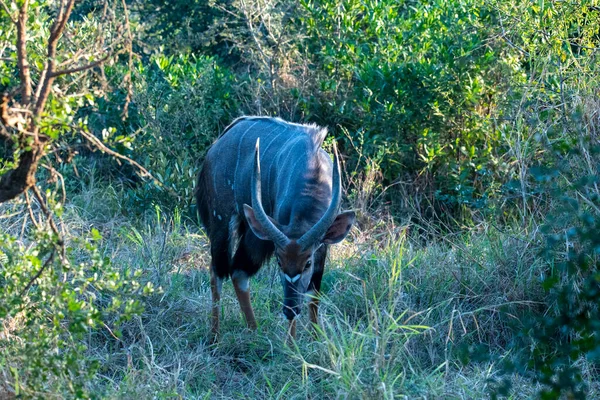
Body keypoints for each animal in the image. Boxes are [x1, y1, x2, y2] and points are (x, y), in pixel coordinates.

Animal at [197, 117, 356, 340]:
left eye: (307, 263)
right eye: (279, 262)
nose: (289, 309)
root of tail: (218, 143)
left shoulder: (322, 247)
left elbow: (313, 296)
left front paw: (317, 339)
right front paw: (292, 345)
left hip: (256, 234)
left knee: (238, 271)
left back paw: (254, 331)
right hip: (222, 220)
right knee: (218, 271)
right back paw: (214, 336)